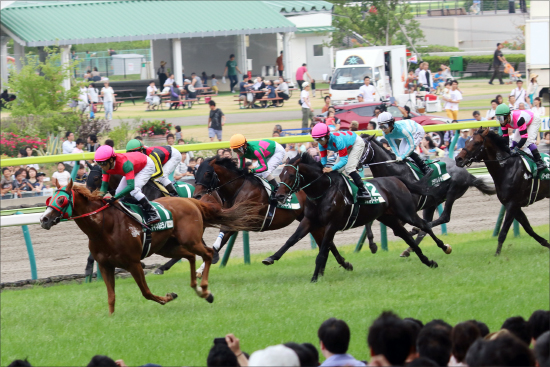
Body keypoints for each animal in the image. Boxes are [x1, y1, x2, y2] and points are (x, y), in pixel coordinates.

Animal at [41, 180, 260, 314]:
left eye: (61, 199)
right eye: (49, 199)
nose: (44, 219)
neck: (104, 226)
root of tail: (192, 201)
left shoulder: (133, 262)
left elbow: (146, 292)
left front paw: (168, 297)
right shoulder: (105, 265)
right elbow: (111, 296)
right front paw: (111, 318)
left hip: (190, 239)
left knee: (207, 254)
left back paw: (205, 291)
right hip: (167, 247)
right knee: (189, 256)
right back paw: (195, 287)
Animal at [194, 157, 356, 274]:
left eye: (207, 173)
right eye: (196, 172)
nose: (197, 196)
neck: (238, 189)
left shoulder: (244, 219)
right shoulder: (233, 220)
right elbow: (219, 242)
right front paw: (200, 270)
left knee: (326, 240)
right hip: (311, 220)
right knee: (326, 240)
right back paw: (344, 264)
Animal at [272, 154, 452, 284]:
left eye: (290, 175)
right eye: (280, 174)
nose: (279, 196)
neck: (323, 191)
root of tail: (396, 179)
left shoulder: (332, 224)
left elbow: (323, 250)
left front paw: (314, 278)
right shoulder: (309, 220)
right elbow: (292, 239)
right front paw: (271, 258)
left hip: (406, 213)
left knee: (424, 225)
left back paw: (444, 247)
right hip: (389, 218)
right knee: (406, 236)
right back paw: (428, 261)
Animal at [364, 134, 498, 256]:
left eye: (363, 147)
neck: (395, 171)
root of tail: (469, 175)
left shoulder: (408, 208)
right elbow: (370, 221)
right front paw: (372, 244)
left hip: (452, 192)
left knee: (442, 218)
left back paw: (417, 233)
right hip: (432, 203)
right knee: (426, 224)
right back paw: (408, 249)